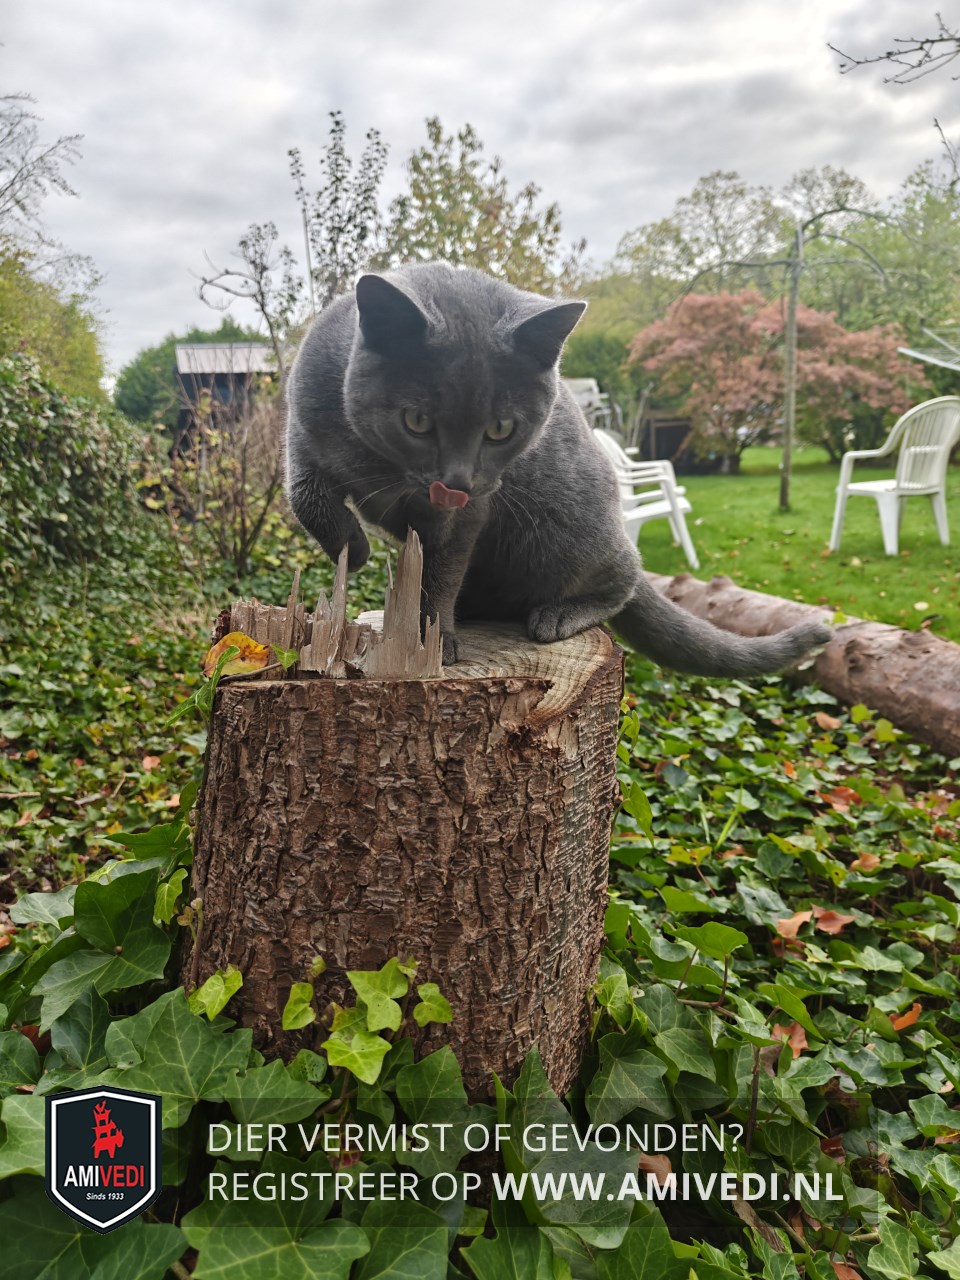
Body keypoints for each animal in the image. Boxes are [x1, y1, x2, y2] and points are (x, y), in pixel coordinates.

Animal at [285, 263, 830, 673]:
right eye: (416, 421)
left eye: (501, 428)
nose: (458, 481)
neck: (381, 465)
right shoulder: (302, 438)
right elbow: (305, 497)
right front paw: (353, 550)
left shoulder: (470, 511)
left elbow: (441, 568)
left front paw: (430, 639)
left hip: (570, 529)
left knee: (624, 577)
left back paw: (558, 615)